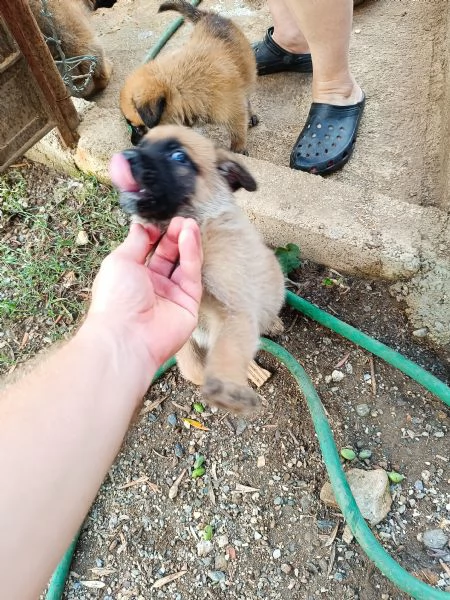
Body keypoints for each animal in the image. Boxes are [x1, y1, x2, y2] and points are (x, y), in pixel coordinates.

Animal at [110, 123, 284, 412]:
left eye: (179, 156)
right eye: (142, 144)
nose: (125, 156)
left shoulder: (233, 309)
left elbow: (228, 349)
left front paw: (226, 387)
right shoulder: (186, 331)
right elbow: (191, 366)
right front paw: (205, 377)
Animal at [119, 0, 258, 152]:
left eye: (138, 128)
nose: (133, 143)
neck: (179, 86)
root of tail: (207, 15)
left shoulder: (234, 111)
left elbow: (238, 133)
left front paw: (238, 150)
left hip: (248, 74)